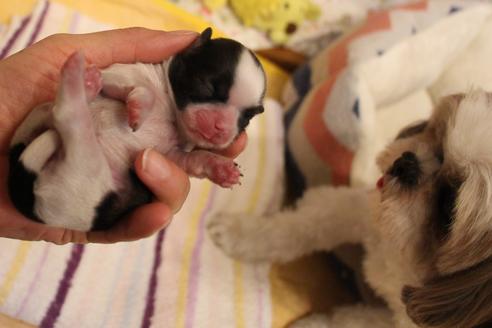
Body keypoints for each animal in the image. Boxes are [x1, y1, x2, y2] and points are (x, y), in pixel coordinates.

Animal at [209, 90, 492, 328]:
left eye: (448, 206)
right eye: (439, 144)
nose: (406, 164)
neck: (402, 254)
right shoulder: (365, 212)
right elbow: (304, 226)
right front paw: (241, 234)